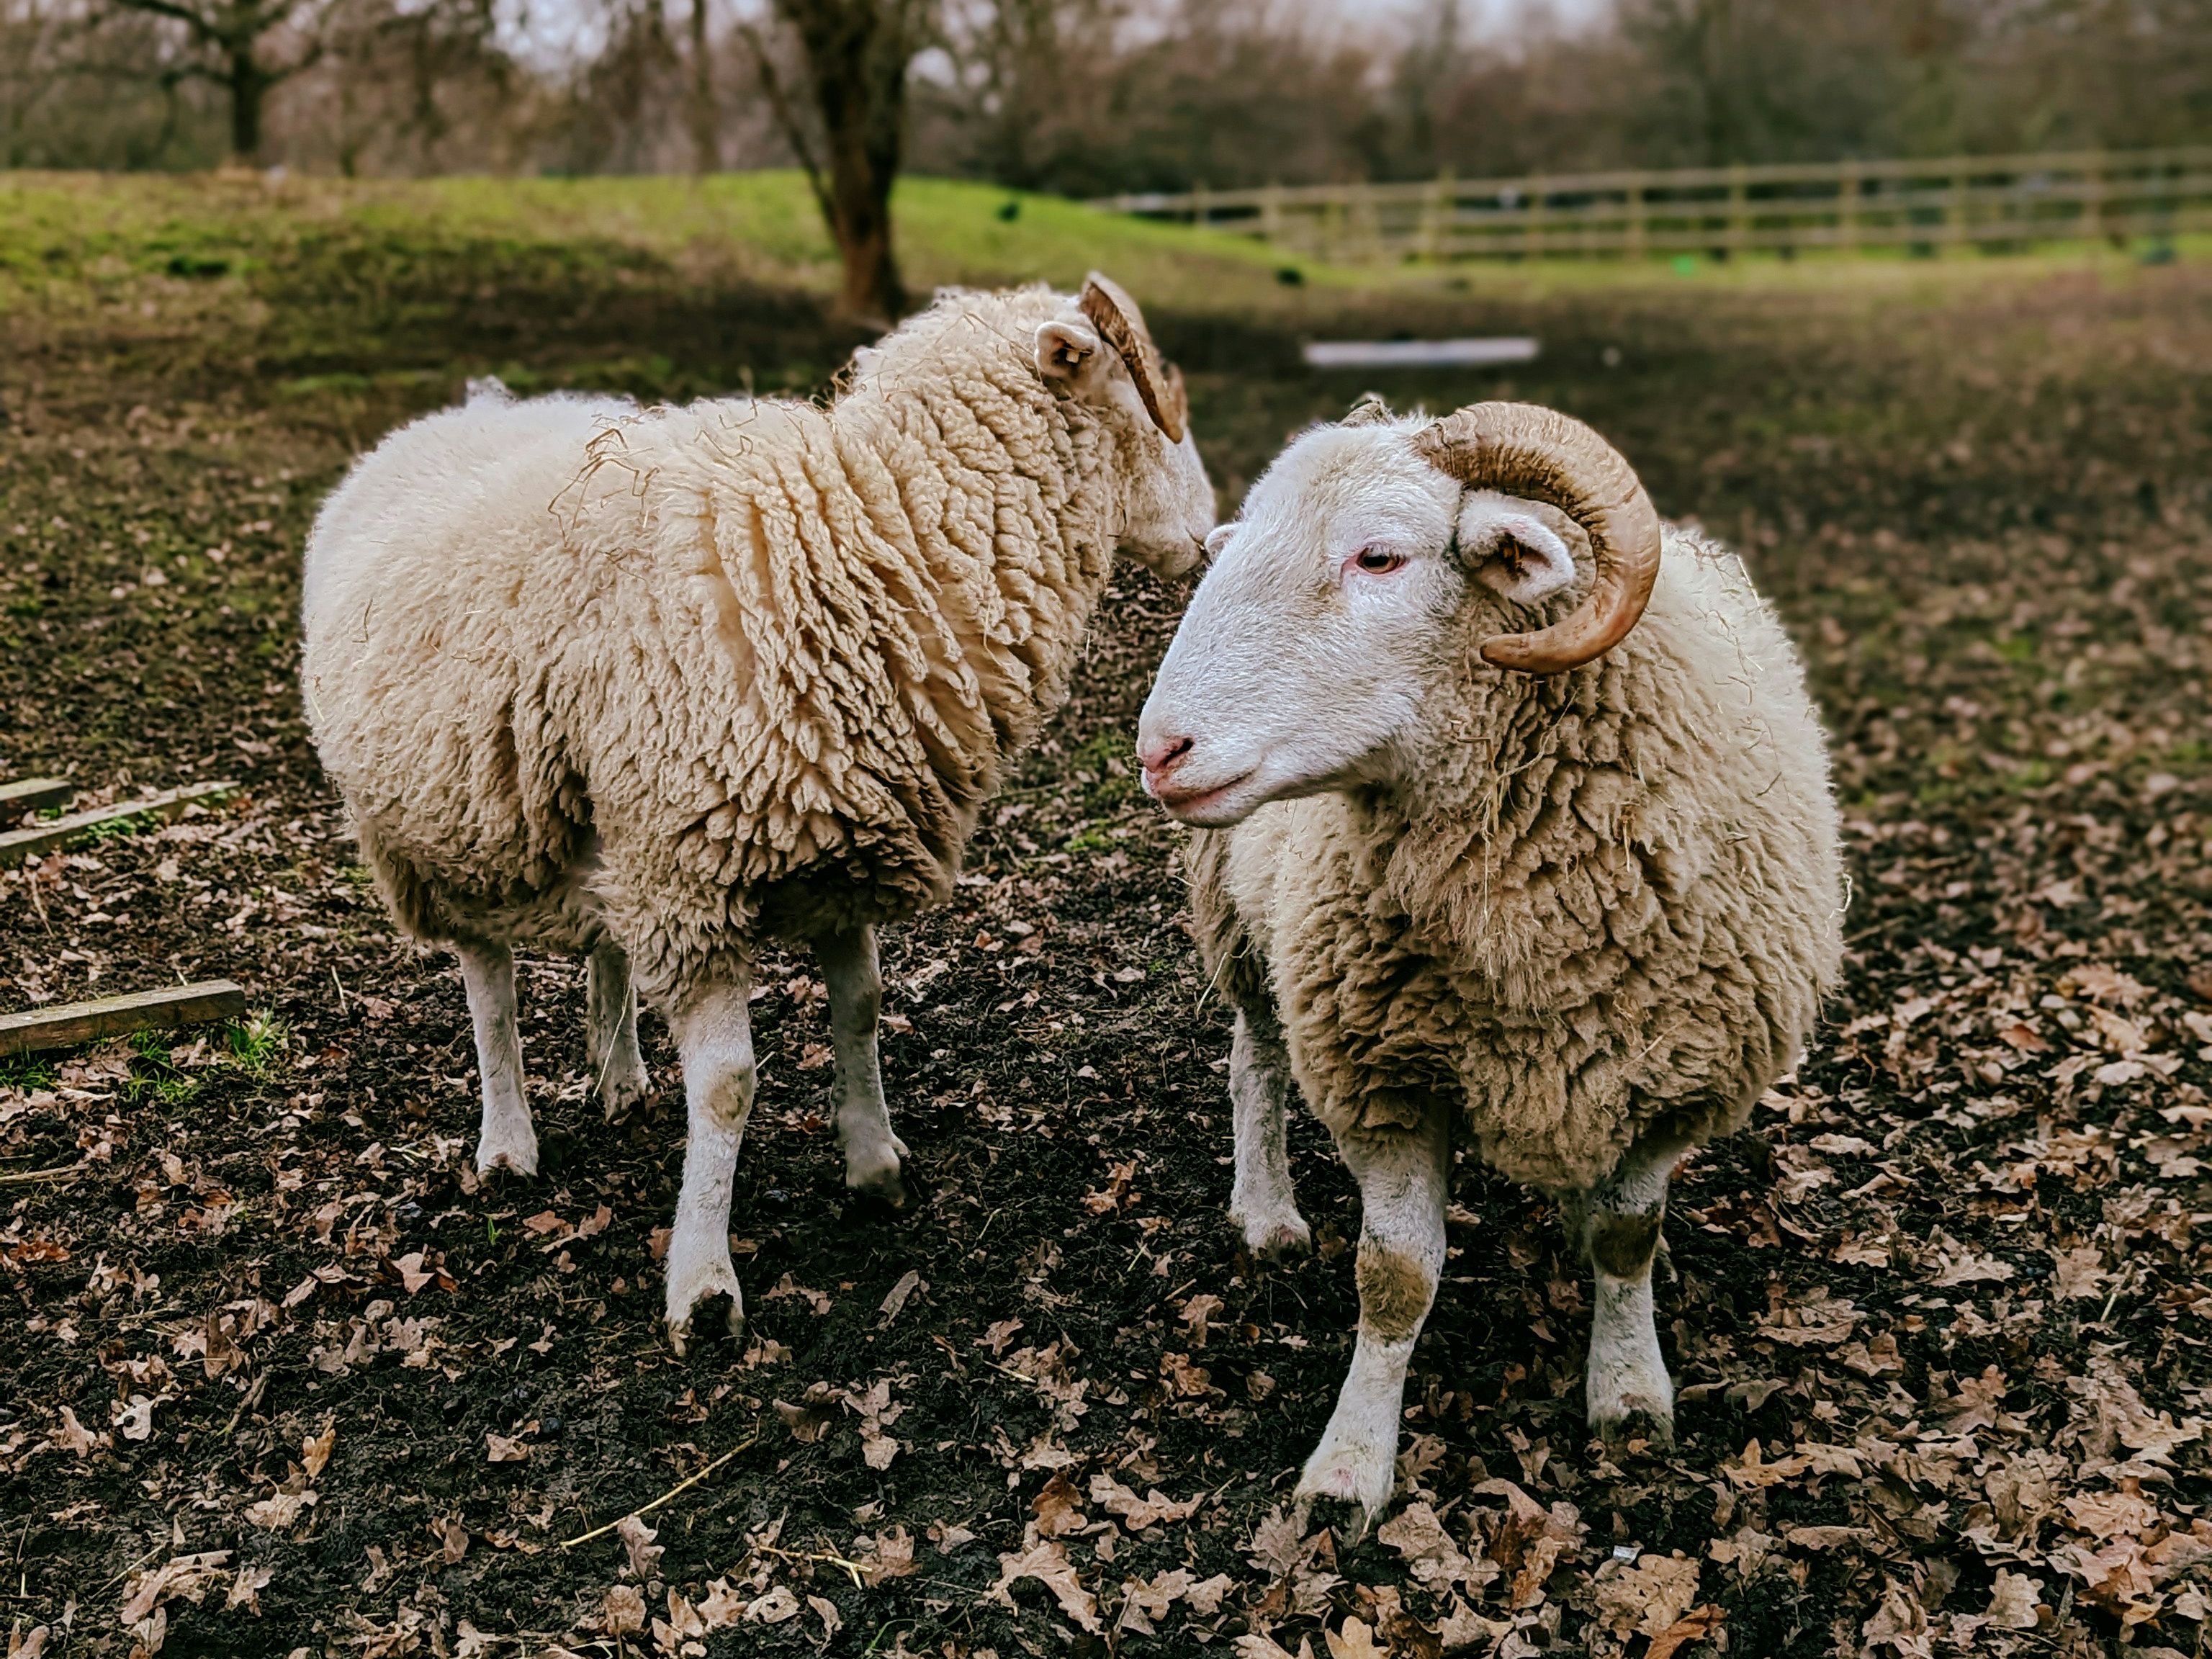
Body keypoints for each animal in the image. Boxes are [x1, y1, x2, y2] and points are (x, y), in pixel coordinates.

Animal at [301, 276, 1212, 1350]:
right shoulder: (691, 872)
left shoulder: (842, 843)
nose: (1211, 534)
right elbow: (730, 1085)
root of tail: (470, 408)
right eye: (1142, 397)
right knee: (489, 983)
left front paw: (875, 1166)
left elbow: (862, 1008)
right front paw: (703, 1284)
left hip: (602, 815)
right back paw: (508, 1140)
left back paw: (620, 1078)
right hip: (455, 827)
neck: (872, 528)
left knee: (605, 947)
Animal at [1135, 398, 1844, 1527]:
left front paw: (1628, 1393)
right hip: (1243, 924)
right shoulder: (1383, 1079)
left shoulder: (1676, 1080)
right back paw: (1268, 1210)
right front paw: (1349, 1468)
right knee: (1254, 1059)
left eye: (1380, 556)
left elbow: (1626, 1242)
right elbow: (1395, 1280)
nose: (1160, 752)